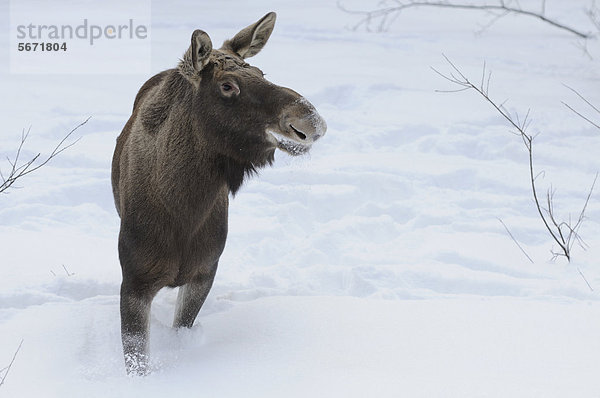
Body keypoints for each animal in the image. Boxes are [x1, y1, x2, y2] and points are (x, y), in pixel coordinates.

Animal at [112, 11, 328, 374]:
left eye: (260, 72)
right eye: (227, 86)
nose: (311, 121)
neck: (183, 209)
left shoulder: (205, 270)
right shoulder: (135, 280)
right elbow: (137, 361)